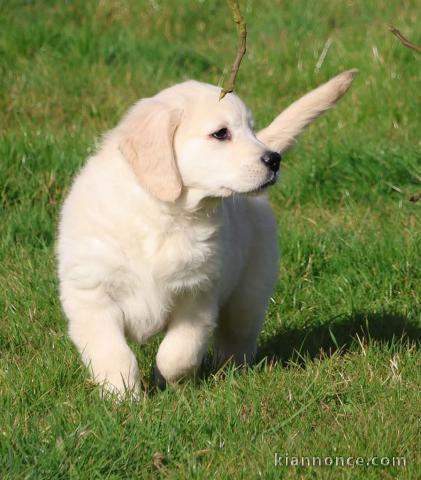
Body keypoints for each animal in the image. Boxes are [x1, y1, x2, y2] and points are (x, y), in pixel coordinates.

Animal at [57, 69, 356, 396]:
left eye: (252, 129)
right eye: (221, 133)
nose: (274, 159)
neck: (161, 212)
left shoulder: (197, 294)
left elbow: (177, 352)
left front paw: (172, 382)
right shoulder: (92, 295)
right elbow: (115, 354)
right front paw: (122, 396)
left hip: (249, 292)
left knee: (237, 337)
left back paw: (231, 373)